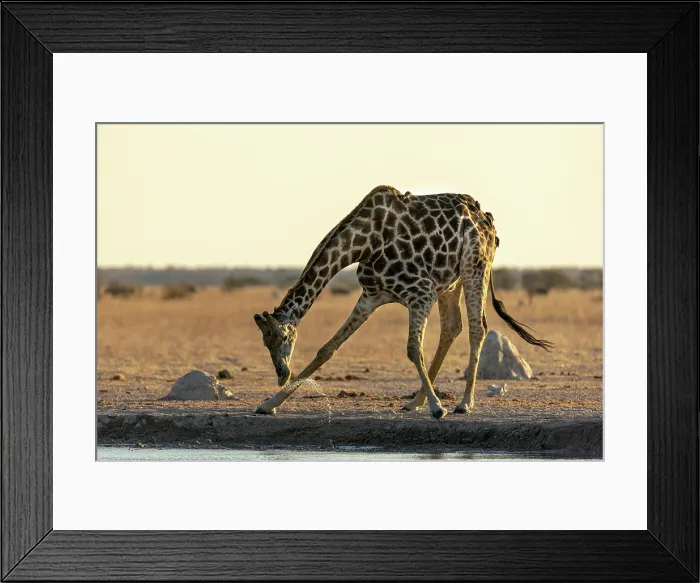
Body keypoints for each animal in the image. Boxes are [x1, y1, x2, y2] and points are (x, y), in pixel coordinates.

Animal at [253, 185, 552, 419]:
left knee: (477, 328)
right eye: (265, 342)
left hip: (475, 267)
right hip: (450, 282)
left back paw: (463, 403)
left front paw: (437, 408)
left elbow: (412, 348)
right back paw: (415, 402)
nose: (281, 374)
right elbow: (327, 349)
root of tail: (487, 219)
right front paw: (268, 404)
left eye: (283, 338)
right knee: (452, 327)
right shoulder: (371, 296)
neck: (364, 242)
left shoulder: (420, 291)